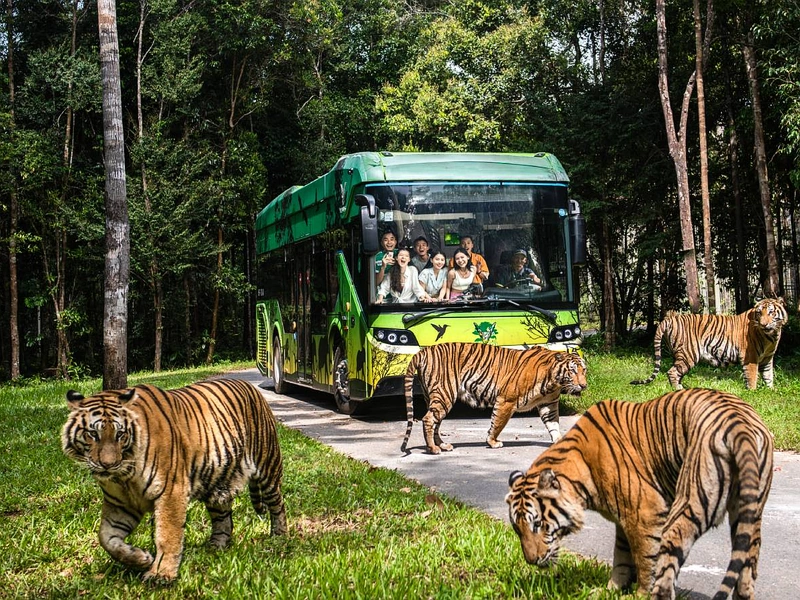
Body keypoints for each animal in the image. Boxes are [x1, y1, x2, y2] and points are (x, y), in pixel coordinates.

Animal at [61, 378, 287, 583]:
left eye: (120, 434)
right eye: (93, 434)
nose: (108, 464)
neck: (124, 476)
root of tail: (250, 386)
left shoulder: (170, 492)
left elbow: (167, 536)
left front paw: (161, 574)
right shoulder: (120, 504)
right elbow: (106, 538)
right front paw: (140, 558)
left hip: (268, 467)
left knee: (278, 504)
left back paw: (279, 537)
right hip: (217, 483)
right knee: (223, 519)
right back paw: (215, 547)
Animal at [400, 342, 587, 455]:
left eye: (583, 370)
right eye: (572, 371)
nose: (584, 385)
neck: (553, 382)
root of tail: (423, 351)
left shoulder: (549, 404)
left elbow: (553, 425)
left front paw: (559, 442)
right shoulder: (506, 401)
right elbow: (497, 424)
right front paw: (492, 442)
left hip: (435, 397)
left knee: (435, 422)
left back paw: (443, 445)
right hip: (444, 394)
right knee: (428, 419)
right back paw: (433, 448)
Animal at [506, 388, 773, 600]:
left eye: (538, 524)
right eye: (517, 529)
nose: (531, 560)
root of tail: (739, 425)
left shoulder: (645, 514)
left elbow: (646, 559)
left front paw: (638, 593)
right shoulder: (625, 518)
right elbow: (621, 556)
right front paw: (611, 590)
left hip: (689, 505)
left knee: (667, 572)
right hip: (748, 515)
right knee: (747, 569)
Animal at [631, 297, 787, 390]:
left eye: (771, 313)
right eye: (760, 313)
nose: (763, 324)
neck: (772, 335)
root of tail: (669, 319)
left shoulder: (767, 358)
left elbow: (768, 375)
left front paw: (771, 390)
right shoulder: (751, 358)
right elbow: (752, 377)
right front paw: (752, 392)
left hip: (678, 354)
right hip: (689, 354)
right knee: (672, 372)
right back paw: (679, 390)